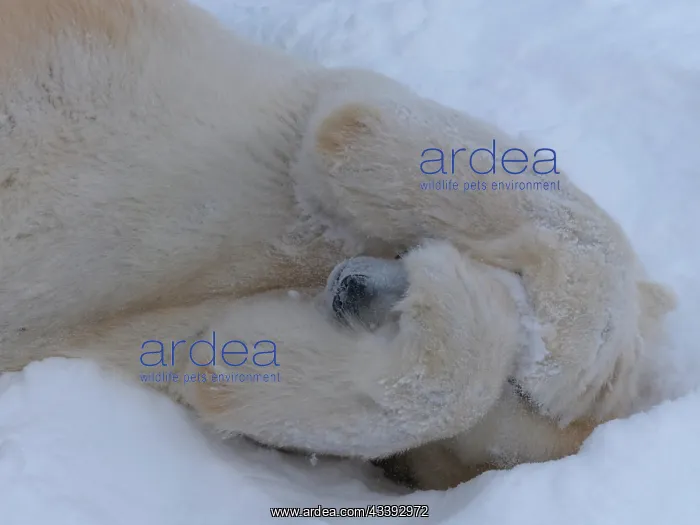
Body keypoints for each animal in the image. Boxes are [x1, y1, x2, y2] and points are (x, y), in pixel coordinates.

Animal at [0, 0, 676, 488]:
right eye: (516, 389)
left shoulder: (111, 330)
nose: (350, 289)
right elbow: (350, 127)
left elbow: (211, 354)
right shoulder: (282, 100)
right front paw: (567, 350)